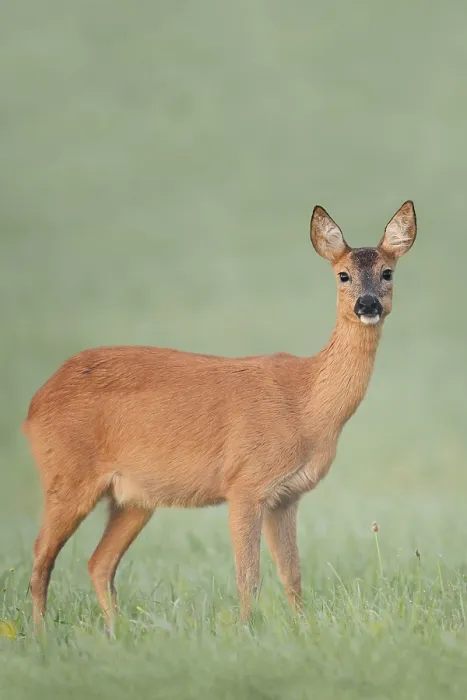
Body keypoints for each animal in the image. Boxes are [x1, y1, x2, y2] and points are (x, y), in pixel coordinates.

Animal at [23, 201, 417, 632]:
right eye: (343, 274)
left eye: (387, 272)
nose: (368, 305)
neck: (306, 405)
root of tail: (34, 405)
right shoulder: (244, 482)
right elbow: (249, 575)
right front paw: (247, 630)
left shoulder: (286, 495)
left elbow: (292, 574)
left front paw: (302, 628)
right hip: (67, 475)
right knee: (41, 556)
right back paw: (40, 633)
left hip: (133, 498)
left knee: (98, 563)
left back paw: (116, 630)